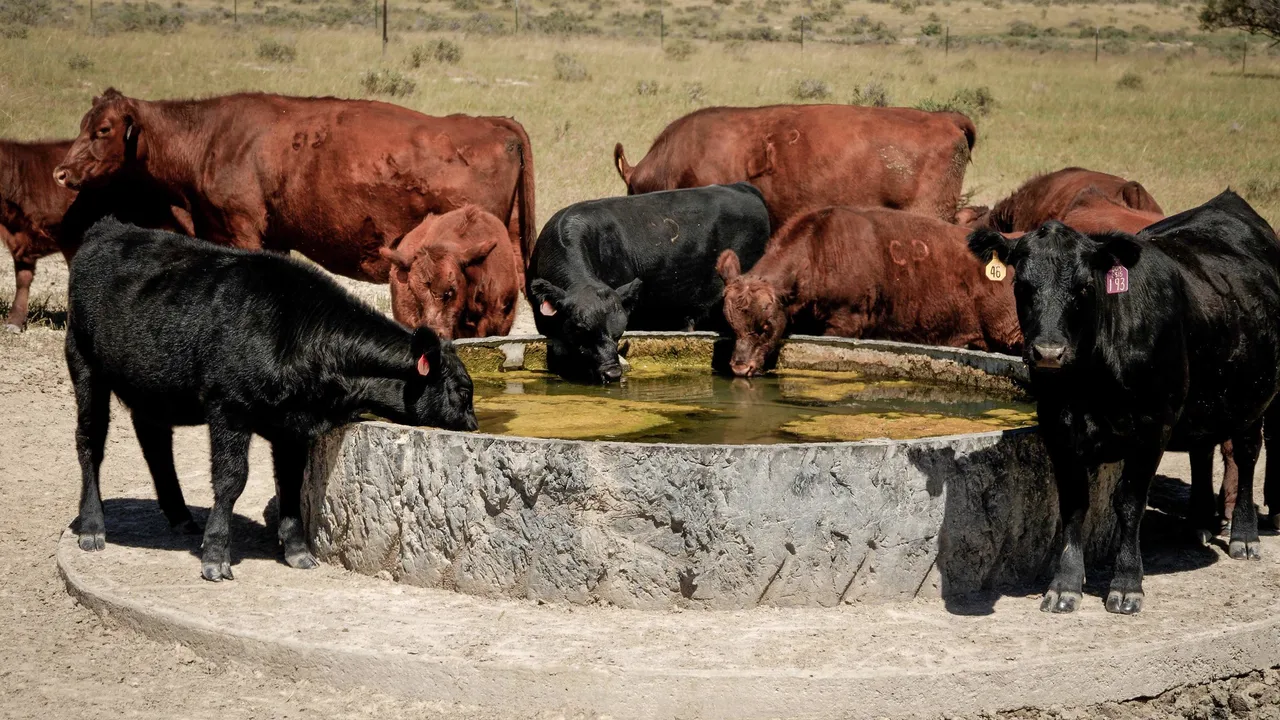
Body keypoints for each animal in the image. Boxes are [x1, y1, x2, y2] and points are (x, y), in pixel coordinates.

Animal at [53, 88, 536, 310]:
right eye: (81, 123)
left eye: (102, 129)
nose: (61, 172)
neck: (210, 138)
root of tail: (492, 123)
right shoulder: (271, 239)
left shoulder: (243, 231)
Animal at [67, 217, 477, 582]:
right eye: (462, 391)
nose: (474, 426)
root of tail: (111, 227)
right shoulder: (228, 408)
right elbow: (231, 479)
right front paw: (215, 555)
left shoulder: (293, 426)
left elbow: (292, 482)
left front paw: (297, 550)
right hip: (84, 364)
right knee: (90, 441)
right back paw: (92, 526)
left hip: (154, 388)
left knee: (155, 443)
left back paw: (180, 516)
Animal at [967, 190, 1280, 615]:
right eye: (1022, 286)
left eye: (1084, 287)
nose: (1049, 352)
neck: (1089, 380)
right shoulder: (1057, 426)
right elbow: (1074, 504)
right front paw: (1065, 584)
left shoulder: (1152, 426)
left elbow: (1129, 503)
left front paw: (1127, 584)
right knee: (1202, 452)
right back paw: (1199, 521)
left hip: (1254, 398)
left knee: (1246, 456)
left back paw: (1244, 535)